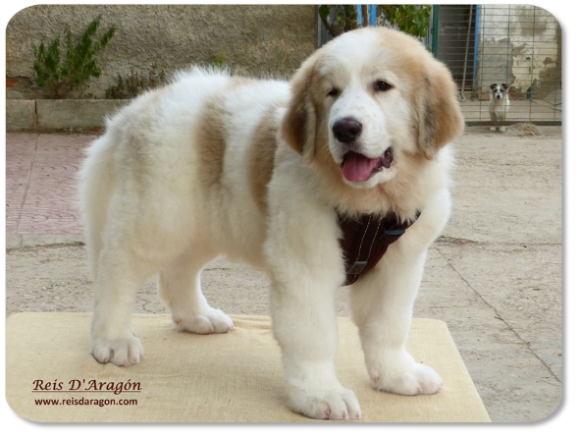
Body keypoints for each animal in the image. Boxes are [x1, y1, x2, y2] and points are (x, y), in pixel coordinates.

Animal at [77, 26, 464, 418]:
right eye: (332, 92)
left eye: (382, 86)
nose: (344, 128)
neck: (370, 205)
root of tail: (138, 107)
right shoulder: (305, 265)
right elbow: (313, 335)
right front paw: (320, 394)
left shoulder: (399, 265)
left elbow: (389, 325)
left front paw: (398, 375)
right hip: (158, 217)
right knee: (117, 270)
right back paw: (113, 338)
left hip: (208, 225)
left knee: (177, 272)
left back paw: (197, 317)